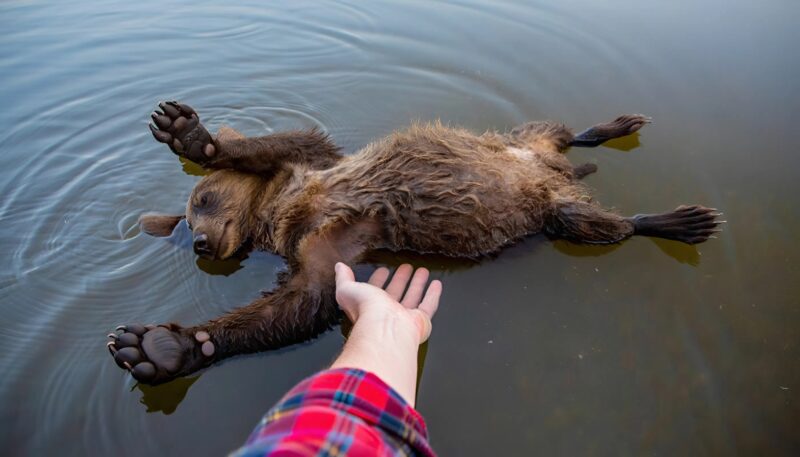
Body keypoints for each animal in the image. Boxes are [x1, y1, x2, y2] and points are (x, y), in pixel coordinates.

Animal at [106, 101, 722, 384]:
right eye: (189, 219)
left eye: (204, 200)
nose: (199, 242)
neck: (280, 210)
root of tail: (561, 173)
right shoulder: (325, 249)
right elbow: (306, 299)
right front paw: (164, 347)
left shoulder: (315, 162)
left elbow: (287, 140)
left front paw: (191, 135)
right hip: (549, 189)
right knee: (569, 157)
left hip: (544, 183)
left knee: (598, 199)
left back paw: (676, 212)